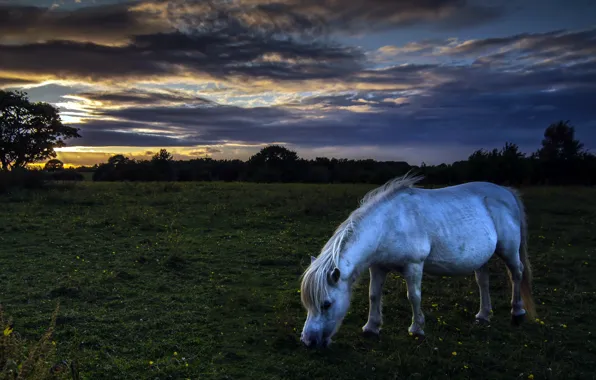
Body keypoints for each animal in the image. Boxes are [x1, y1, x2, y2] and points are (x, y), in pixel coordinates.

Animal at [298, 174, 536, 348]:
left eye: (326, 304)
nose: (308, 341)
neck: (389, 223)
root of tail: (507, 191)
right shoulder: (378, 267)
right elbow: (373, 295)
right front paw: (371, 328)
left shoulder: (414, 265)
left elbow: (413, 296)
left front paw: (417, 329)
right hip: (482, 257)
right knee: (483, 282)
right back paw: (484, 315)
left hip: (509, 250)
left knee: (517, 274)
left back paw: (517, 313)